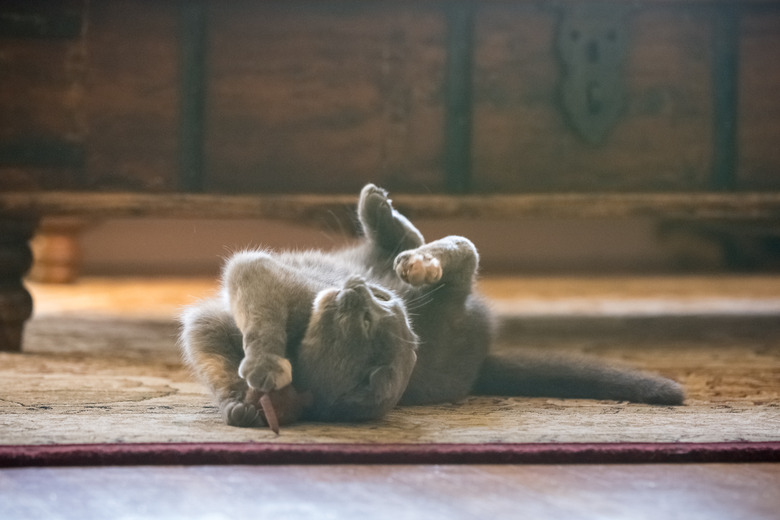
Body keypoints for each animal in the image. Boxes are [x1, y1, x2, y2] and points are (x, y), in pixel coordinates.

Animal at [181, 185, 684, 428]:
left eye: (370, 316)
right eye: (383, 305)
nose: (362, 287)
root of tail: (480, 357)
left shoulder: (264, 278)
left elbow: (254, 306)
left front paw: (263, 368)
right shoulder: (209, 327)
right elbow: (215, 357)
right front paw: (240, 402)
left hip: (455, 280)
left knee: (454, 246)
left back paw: (410, 251)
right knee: (414, 240)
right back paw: (394, 231)